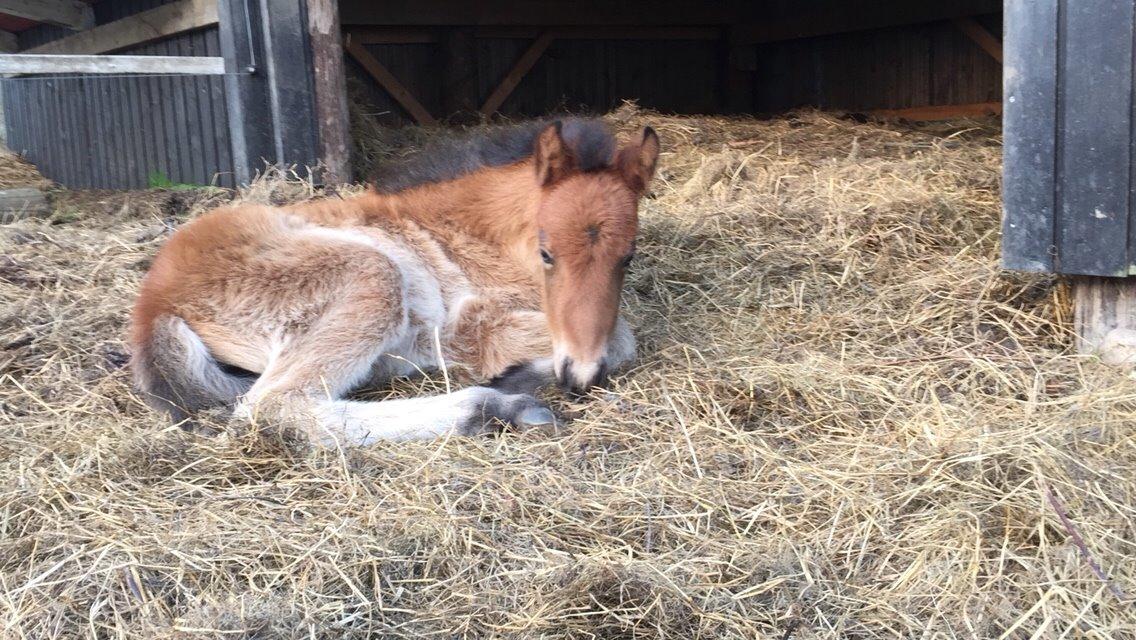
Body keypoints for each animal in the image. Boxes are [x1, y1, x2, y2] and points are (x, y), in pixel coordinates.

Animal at [128, 117, 663, 443]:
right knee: (274, 406)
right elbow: (624, 338)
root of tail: (153, 305)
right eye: (547, 253)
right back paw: (494, 407)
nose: (580, 376)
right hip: (372, 275)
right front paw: (512, 374)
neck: (472, 235)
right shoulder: (469, 326)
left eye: (628, 257)